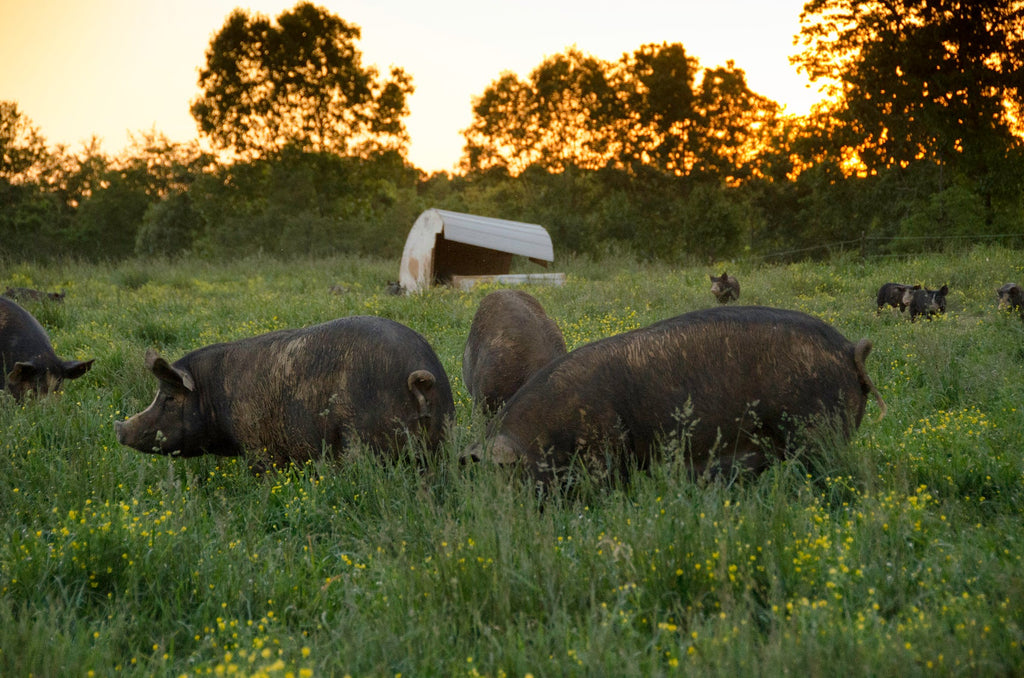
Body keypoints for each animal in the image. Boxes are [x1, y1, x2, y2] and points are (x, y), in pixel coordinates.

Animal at [114, 317, 454, 467]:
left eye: (169, 397)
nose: (118, 428)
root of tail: (421, 376)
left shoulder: (257, 445)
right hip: (439, 440)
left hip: (363, 438)